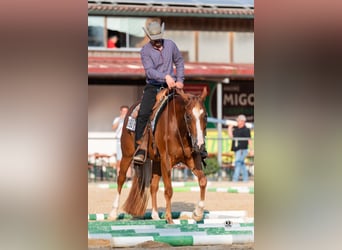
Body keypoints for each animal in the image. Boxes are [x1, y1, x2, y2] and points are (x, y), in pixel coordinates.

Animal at [108, 87, 207, 223]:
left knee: (153, 185)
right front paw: (169, 218)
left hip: (156, 161)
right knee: (121, 179)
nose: (199, 144)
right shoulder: (166, 161)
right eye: (188, 116)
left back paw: (155, 215)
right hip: (127, 155)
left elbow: (203, 181)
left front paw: (197, 213)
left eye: (205, 116)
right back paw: (113, 213)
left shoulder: (192, 160)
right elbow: (169, 190)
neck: (177, 128)